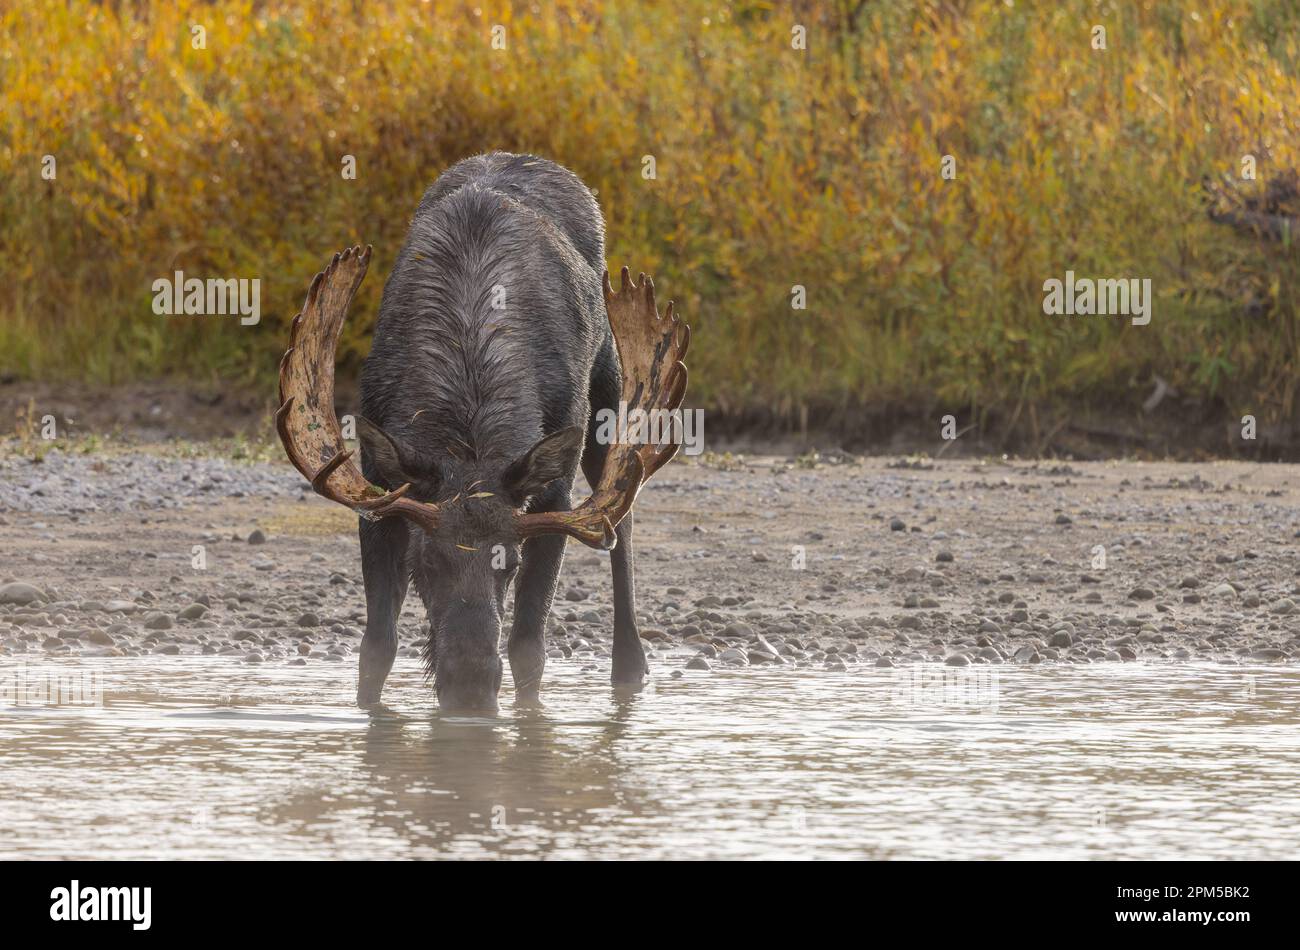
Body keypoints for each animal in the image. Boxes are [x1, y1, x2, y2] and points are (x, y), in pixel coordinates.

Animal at [274, 153, 689, 712]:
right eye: (425, 562)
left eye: (508, 564)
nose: (469, 686)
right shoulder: (377, 485)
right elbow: (376, 647)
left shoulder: (551, 495)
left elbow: (528, 647)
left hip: (609, 395)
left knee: (620, 517)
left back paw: (630, 666)